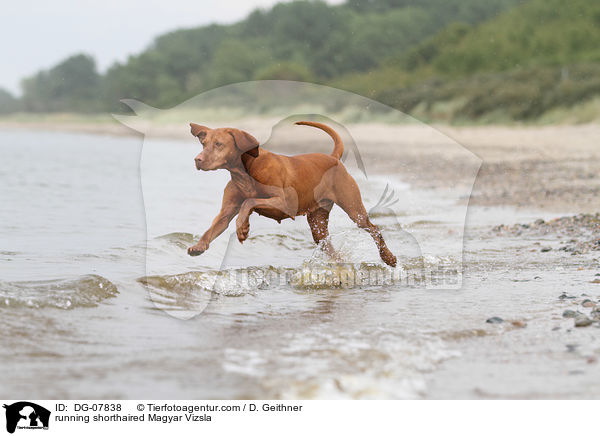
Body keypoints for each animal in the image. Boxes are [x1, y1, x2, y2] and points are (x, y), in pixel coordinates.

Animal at [185, 121, 396, 268]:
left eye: (219, 144)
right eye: (204, 144)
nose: (197, 159)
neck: (245, 171)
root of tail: (333, 158)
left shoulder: (284, 204)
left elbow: (249, 202)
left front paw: (242, 227)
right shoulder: (227, 211)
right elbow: (214, 227)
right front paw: (200, 245)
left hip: (355, 211)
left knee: (374, 229)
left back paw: (389, 258)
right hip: (318, 225)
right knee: (329, 246)